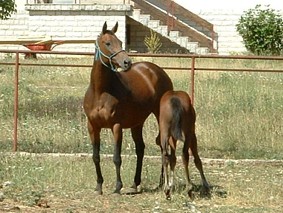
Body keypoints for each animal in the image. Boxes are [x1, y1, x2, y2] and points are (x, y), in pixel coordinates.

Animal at [83, 22, 174, 195]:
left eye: (120, 42)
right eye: (107, 43)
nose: (127, 62)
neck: (100, 92)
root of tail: (156, 70)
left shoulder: (116, 126)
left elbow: (116, 158)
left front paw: (118, 186)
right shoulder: (92, 126)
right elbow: (95, 156)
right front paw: (99, 186)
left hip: (159, 116)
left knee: (163, 145)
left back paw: (161, 183)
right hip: (137, 122)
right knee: (140, 148)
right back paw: (135, 182)